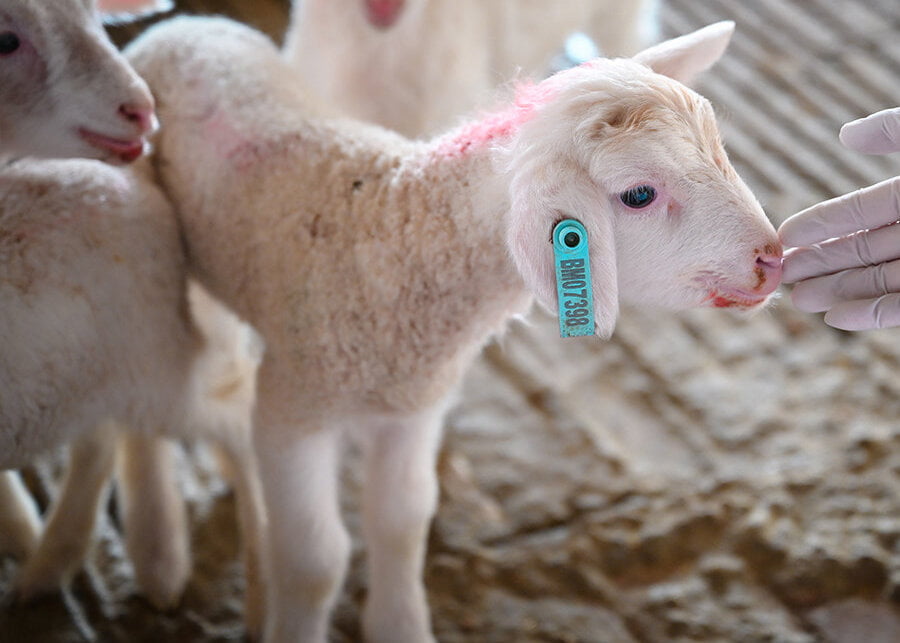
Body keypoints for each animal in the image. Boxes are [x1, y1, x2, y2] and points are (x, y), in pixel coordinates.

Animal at [127, 15, 782, 642]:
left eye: (719, 151)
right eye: (639, 194)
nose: (772, 259)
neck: (391, 229)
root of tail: (183, 26)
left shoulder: (413, 409)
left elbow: (402, 522)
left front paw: (399, 625)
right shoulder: (294, 413)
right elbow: (315, 561)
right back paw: (159, 551)